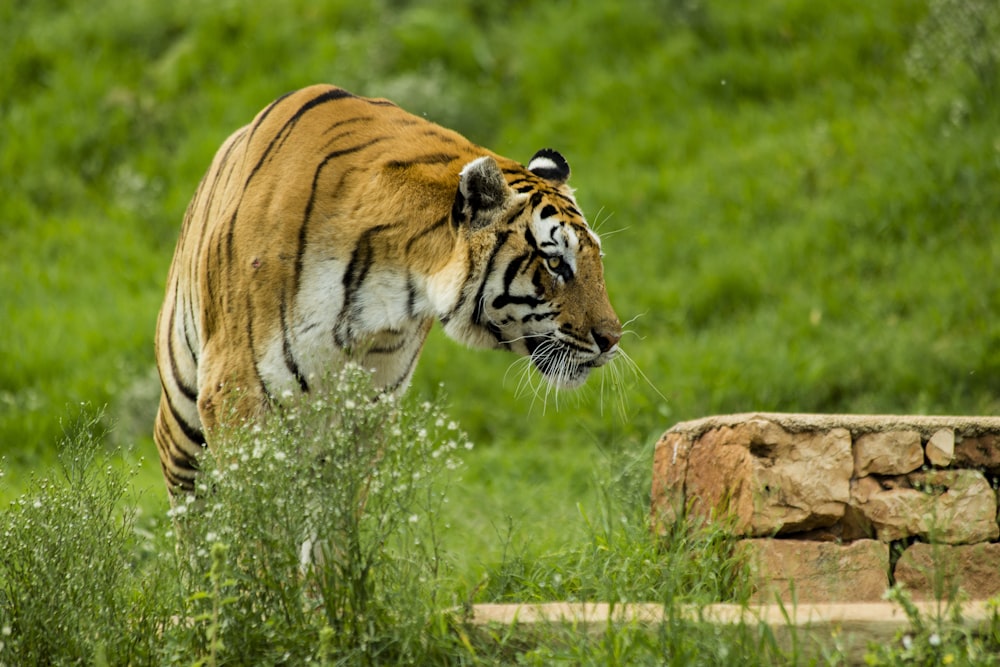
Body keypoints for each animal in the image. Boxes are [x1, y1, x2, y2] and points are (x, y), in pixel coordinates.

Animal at [152, 83, 620, 496]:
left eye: (596, 259)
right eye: (555, 263)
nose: (613, 339)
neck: (389, 292)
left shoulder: (365, 414)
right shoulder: (238, 395)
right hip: (184, 424)